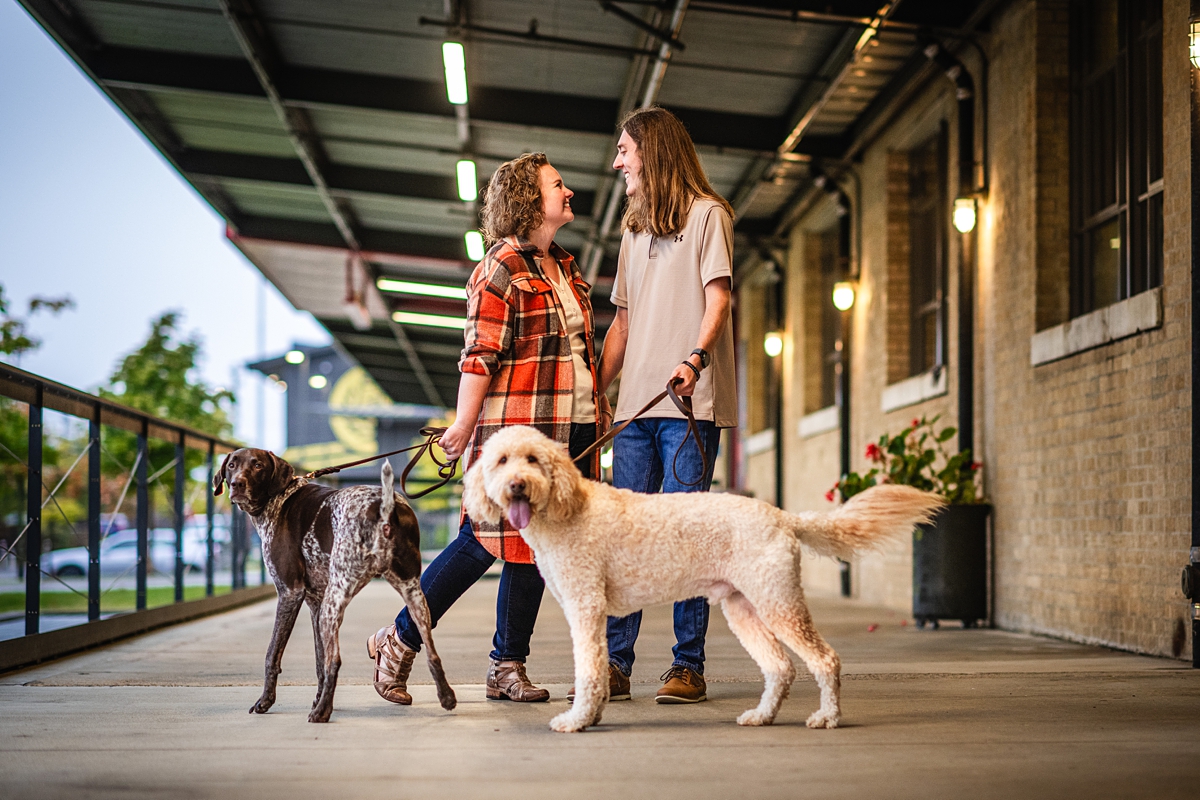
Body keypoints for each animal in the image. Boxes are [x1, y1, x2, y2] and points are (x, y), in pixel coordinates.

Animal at [213, 448, 456, 724]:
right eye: (232, 465)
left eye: (257, 465)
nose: (237, 484)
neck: (278, 499)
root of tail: (385, 508)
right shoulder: (315, 604)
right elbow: (320, 660)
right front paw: (317, 697)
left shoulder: (290, 592)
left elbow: (273, 654)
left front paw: (266, 701)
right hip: (413, 595)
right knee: (432, 652)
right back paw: (446, 697)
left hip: (336, 597)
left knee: (336, 661)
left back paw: (322, 713)